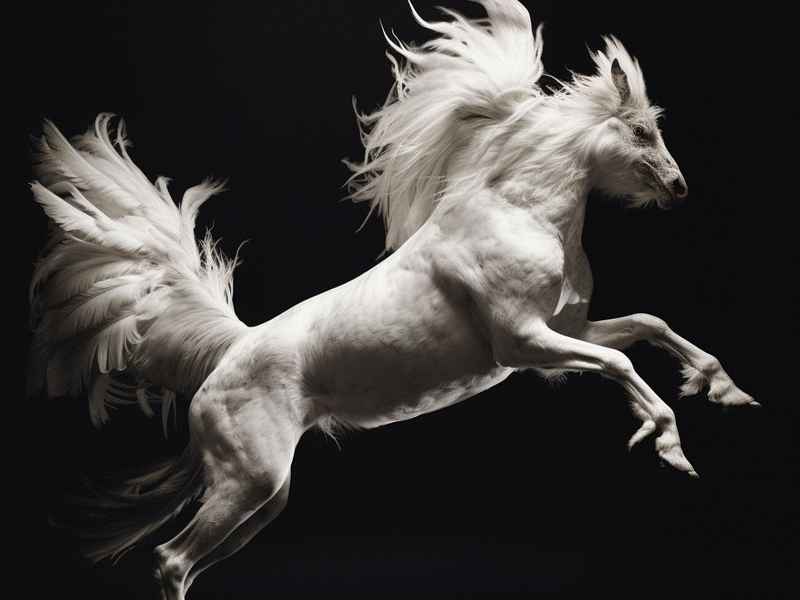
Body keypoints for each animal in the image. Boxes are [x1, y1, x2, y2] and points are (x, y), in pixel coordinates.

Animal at [28, 1, 758, 598]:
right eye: (640, 131)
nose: (679, 187)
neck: (517, 211)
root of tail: (230, 353)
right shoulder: (523, 342)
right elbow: (622, 364)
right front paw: (668, 442)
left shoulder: (565, 333)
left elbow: (648, 325)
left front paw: (723, 389)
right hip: (249, 481)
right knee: (173, 561)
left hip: (264, 497)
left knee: (183, 561)